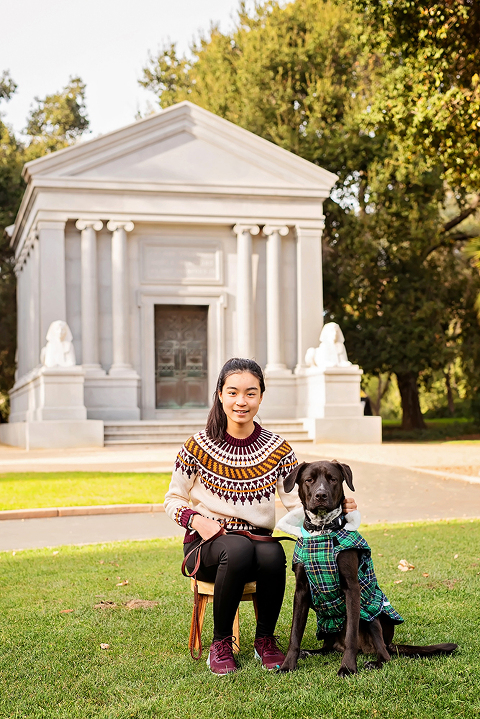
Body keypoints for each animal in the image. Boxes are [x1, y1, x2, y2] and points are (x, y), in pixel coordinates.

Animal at [282, 462, 458, 676]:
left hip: (372, 614)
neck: (322, 532)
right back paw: (310, 652)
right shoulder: (301, 591)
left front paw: (348, 667)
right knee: (327, 648)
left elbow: (351, 634)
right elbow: (295, 635)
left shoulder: (353, 589)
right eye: (309, 480)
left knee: (385, 654)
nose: (321, 495)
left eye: (332, 479)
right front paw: (287, 665)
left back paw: (375, 662)